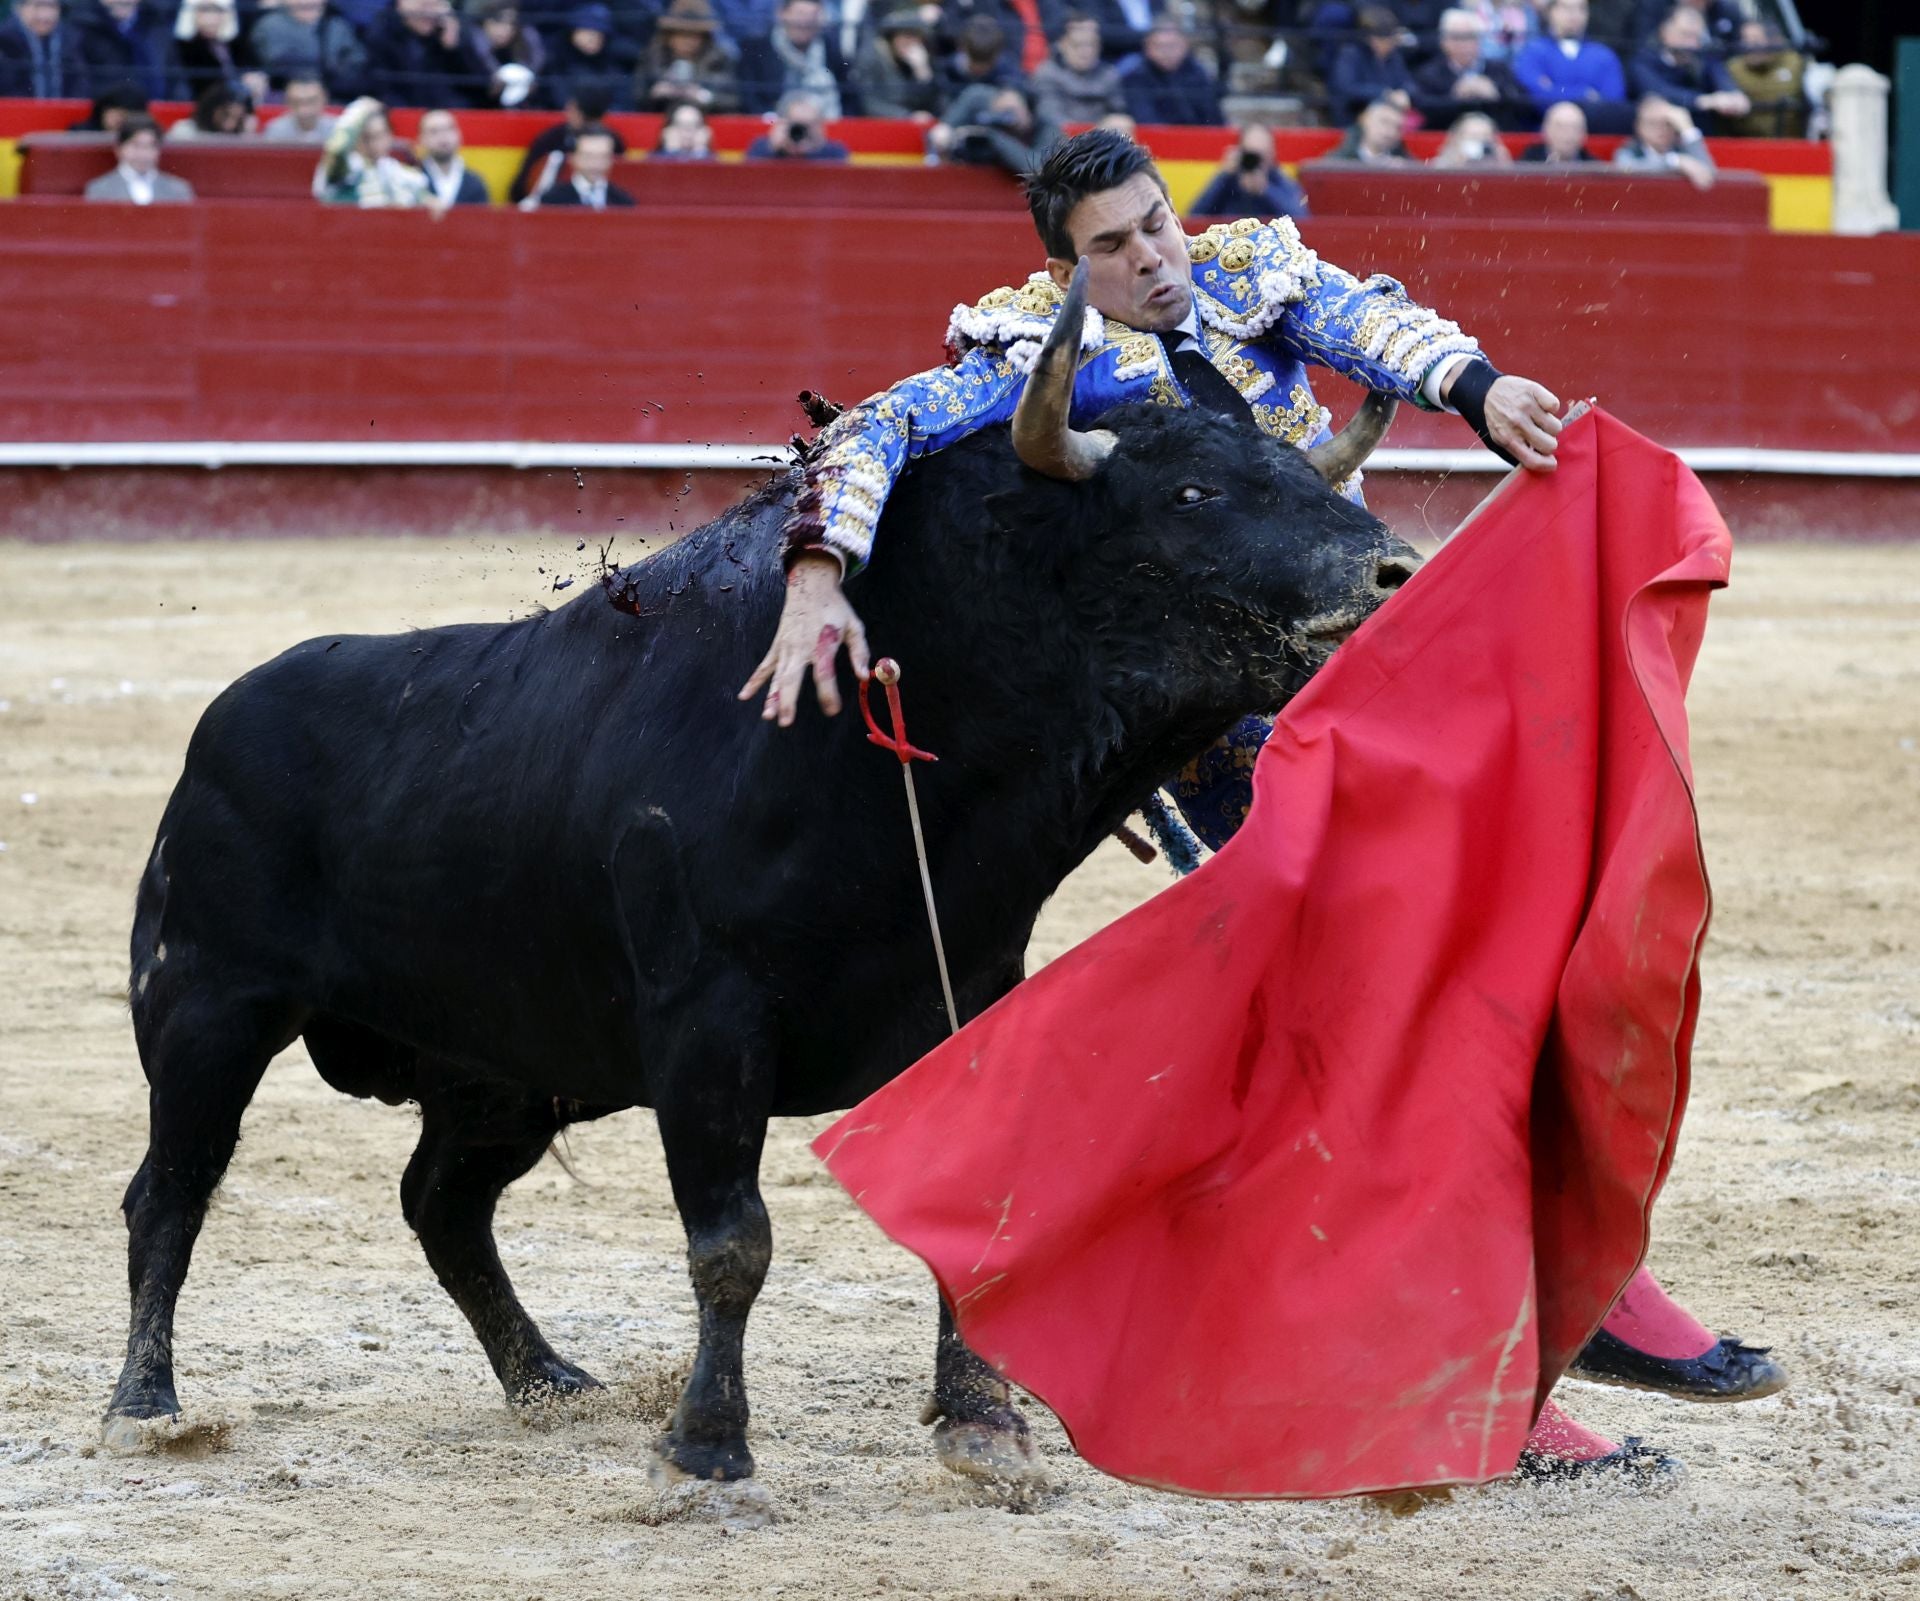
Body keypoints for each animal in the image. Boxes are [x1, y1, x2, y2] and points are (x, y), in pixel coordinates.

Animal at [108, 268, 1428, 1481]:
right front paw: (706, 1450)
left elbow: (973, 1216)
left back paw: (545, 1377)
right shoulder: (709, 1024)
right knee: (170, 1190)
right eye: (1193, 493)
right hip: (208, 1009)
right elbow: (731, 1239)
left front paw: (984, 1419)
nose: (1392, 574)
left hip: (504, 1066)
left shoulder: (971, 995)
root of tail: (221, 719)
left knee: (442, 1202)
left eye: (1306, 478)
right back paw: (145, 1403)